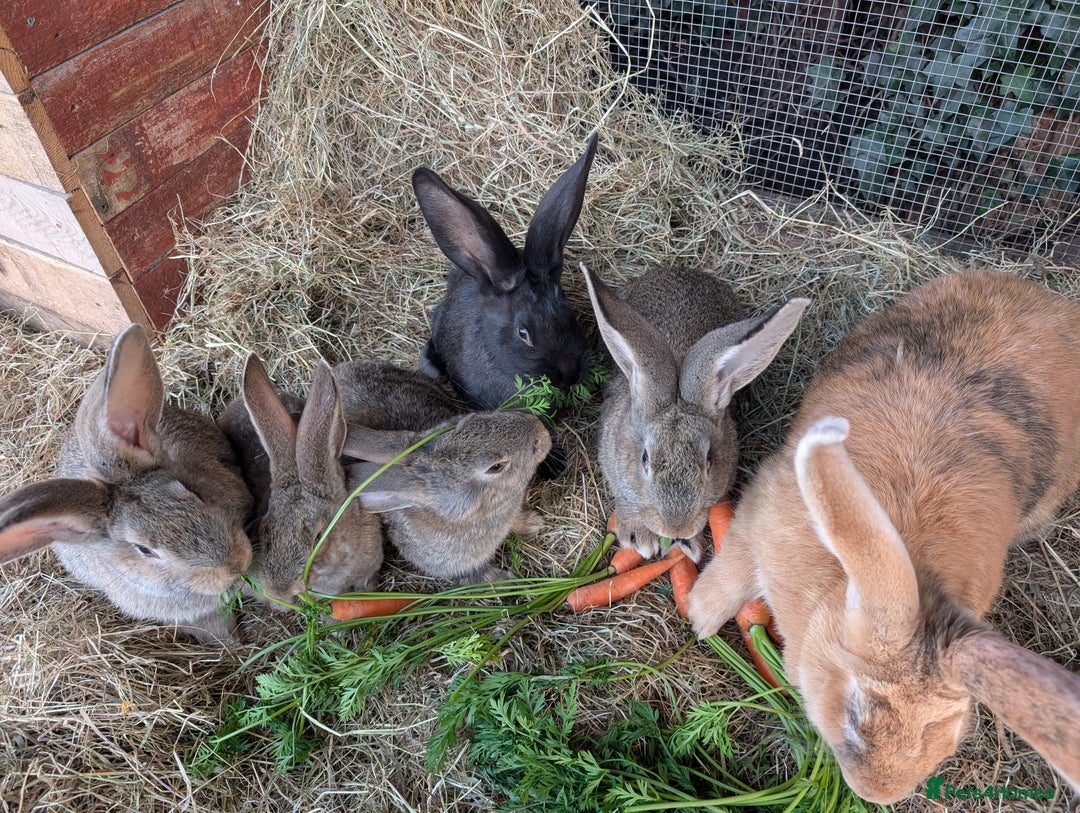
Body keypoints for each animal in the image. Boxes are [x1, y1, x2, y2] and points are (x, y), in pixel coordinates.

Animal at [581, 264, 809, 562]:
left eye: (709, 461)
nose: (677, 528)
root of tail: (679, 269)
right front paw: (638, 538)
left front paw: (687, 544)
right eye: (645, 459)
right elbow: (624, 497)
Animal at [687, 269, 1080, 804]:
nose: (877, 793)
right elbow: (734, 564)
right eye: (855, 713)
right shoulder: (759, 509)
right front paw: (700, 616)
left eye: (946, 730)